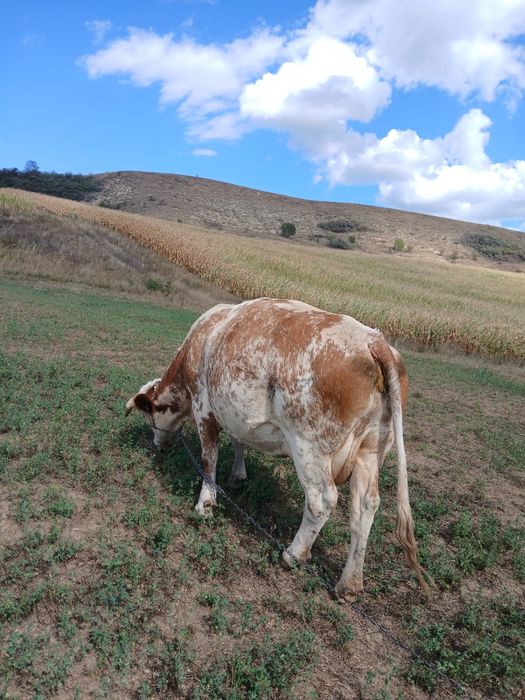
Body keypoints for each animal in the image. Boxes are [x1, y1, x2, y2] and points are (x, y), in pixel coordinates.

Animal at [126, 298, 428, 599]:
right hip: (372, 449)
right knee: (366, 506)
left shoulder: (204, 408)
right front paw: (237, 477)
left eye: (150, 418)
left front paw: (205, 503)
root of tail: (373, 341)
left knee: (322, 500)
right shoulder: (234, 412)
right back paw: (350, 584)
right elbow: (238, 442)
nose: (158, 446)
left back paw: (293, 554)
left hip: (310, 446)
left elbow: (209, 458)